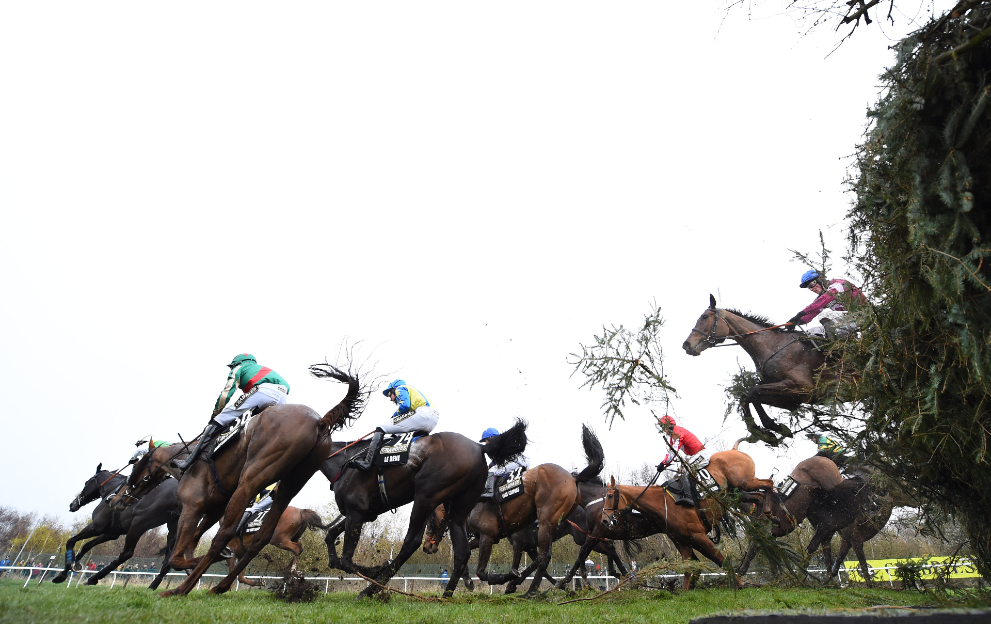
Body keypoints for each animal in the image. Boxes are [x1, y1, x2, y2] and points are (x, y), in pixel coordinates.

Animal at [52, 464, 181, 588]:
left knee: (126, 554)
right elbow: (86, 546)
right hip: (174, 529)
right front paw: (69, 568)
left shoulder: (97, 526)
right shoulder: (111, 533)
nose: (72, 504)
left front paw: (65, 570)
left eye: (86, 482)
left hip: (140, 522)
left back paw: (94, 578)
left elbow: (71, 541)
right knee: (168, 561)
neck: (113, 489)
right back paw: (152, 587)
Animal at [110, 364, 364, 596]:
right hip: (291, 485)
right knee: (261, 537)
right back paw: (218, 586)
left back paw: (181, 589)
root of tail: (318, 421)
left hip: (251, 481)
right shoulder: (213, 509)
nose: (117, 500)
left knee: (224, 536)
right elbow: (192, 545)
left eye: (134, 464)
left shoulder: (192, 507)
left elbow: (177, 555)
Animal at [322, 420, 532, 600]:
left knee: (411, 542)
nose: (429, 547)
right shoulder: (365, 513)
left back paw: (370, 590)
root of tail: (480, 447)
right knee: (462, 551)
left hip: (425, 496)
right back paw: (446, 595)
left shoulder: (356, 510)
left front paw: (376, 569)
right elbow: (331, 537)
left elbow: (346, 560)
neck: (344, 462)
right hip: (459, 507)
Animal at [600, 478, 740, 588]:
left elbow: (719, 558)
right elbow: (689, 566)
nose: (604, 520)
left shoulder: (698, 535)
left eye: (610, 496)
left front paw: (739, 582)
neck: (665, 504)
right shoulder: (683, 540)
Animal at [680, 294, 828, 444]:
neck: (773, 345)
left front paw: (772, 426)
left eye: (704, 317)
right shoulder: (792, 399)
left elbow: (752, 391)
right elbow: (745, 397)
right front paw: (759, 430)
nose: (686, 345)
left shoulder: (803, 389)